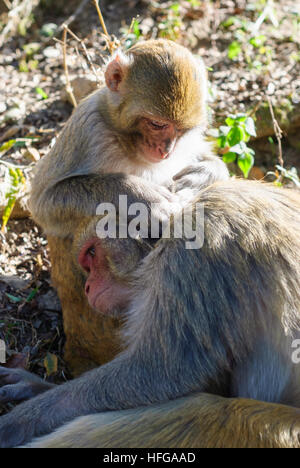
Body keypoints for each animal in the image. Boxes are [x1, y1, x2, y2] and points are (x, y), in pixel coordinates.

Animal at [0, 177, 300, 448]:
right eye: (86, 263)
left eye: (92, 252)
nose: (87, 286)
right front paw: (36, 388)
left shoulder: (199, 251)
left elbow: (160, 373)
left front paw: (23, 419)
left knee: (205, 413)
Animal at [29, 39, 229, 372]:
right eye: (158, 124)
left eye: (180, 130)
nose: (165, 150)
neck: (129, 142)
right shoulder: (87, 129)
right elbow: (44, 202)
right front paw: (142, 198)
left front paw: (201, 176)